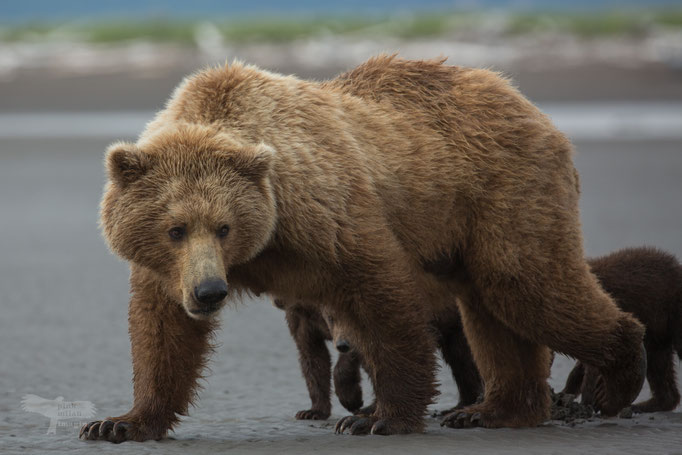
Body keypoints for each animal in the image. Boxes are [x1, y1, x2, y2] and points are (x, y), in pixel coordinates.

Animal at [79, 55, 644, 444]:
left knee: (528, 287)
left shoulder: (325, 210)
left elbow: (382, 295)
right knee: (493, 310)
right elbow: (162, 333)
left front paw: (383, 418)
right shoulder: (167, 271)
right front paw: (119, 422)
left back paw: (616, 378)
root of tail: (528, 103)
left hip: (504, 194)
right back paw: (494, 410)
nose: (211, 291)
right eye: (175, 228)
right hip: (467, 231)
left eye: (223, 226)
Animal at [560, 248, 680, 416]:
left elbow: (592, 366)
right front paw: (564, 394)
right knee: (658, 363)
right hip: (658, 330)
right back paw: (642, 405)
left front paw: (589, 399)